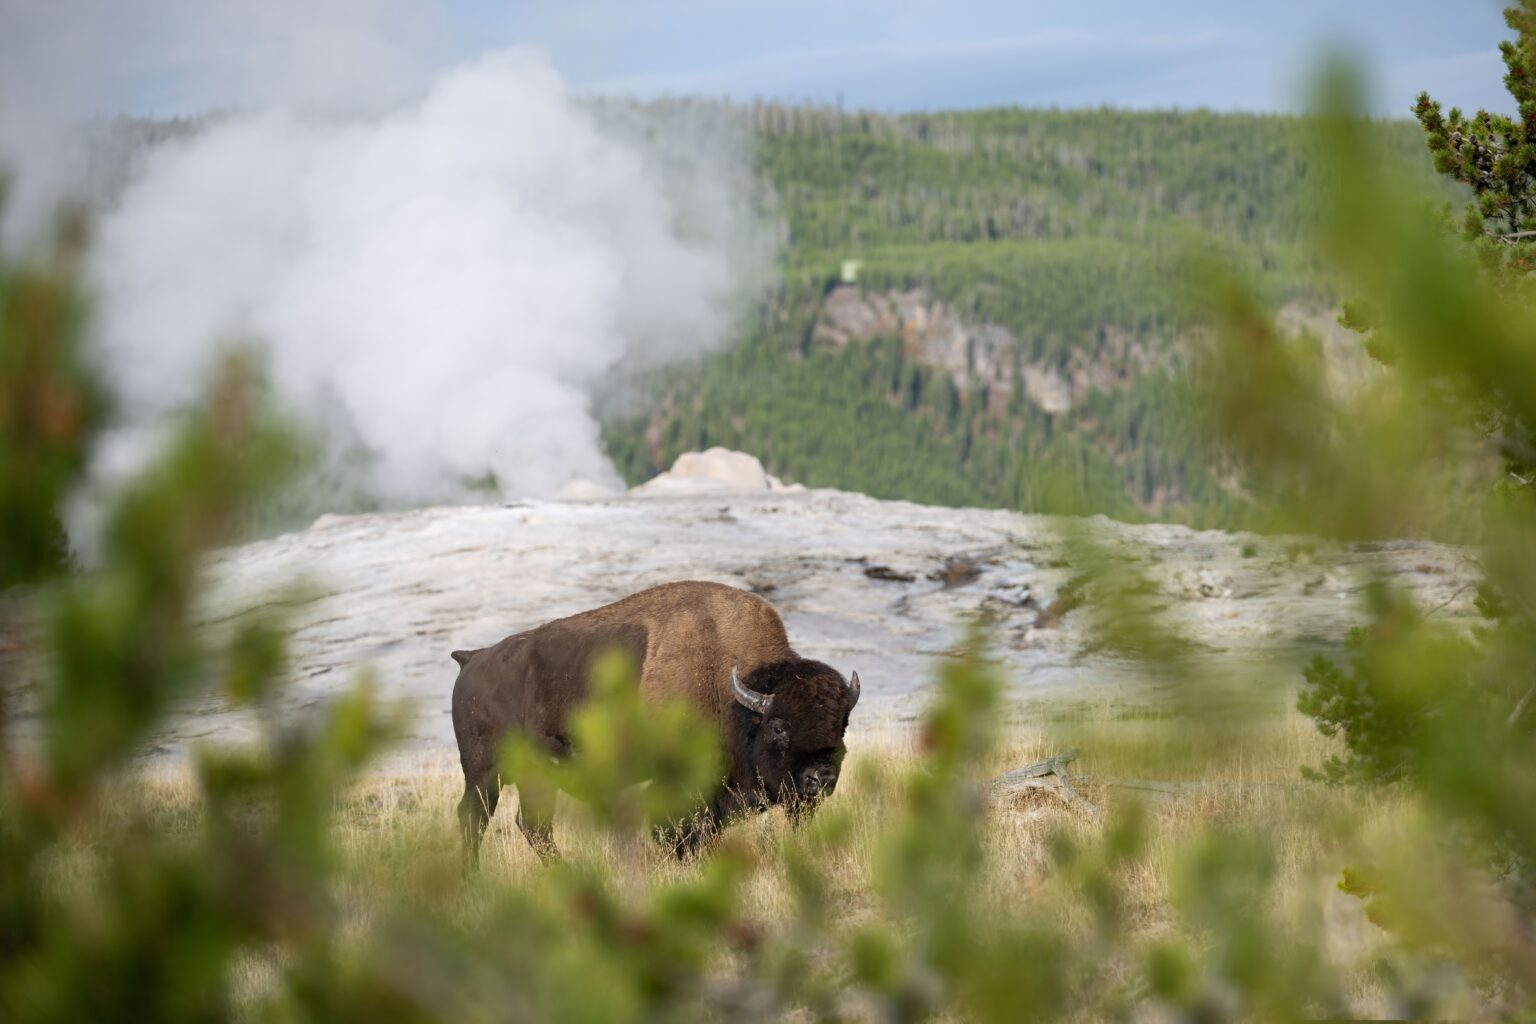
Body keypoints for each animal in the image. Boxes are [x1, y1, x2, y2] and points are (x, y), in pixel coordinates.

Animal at [451, 580, 866, 859]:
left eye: (842, 726)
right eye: (778, 726)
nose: (821, 778)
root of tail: (473, 659)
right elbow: (678, 833)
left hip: (531, 776)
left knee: (531, 826)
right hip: (484, 775)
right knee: (476, 819)